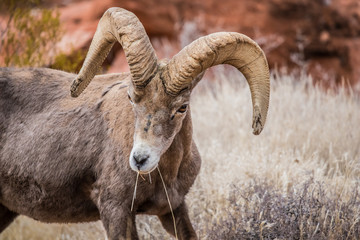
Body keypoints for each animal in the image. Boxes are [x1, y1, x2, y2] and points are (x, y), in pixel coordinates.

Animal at [0, 7, 268, 240]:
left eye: (182, 107)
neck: (164, 174)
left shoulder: (173, 209)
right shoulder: (115, 209)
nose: (140, 160)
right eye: (131, 97)